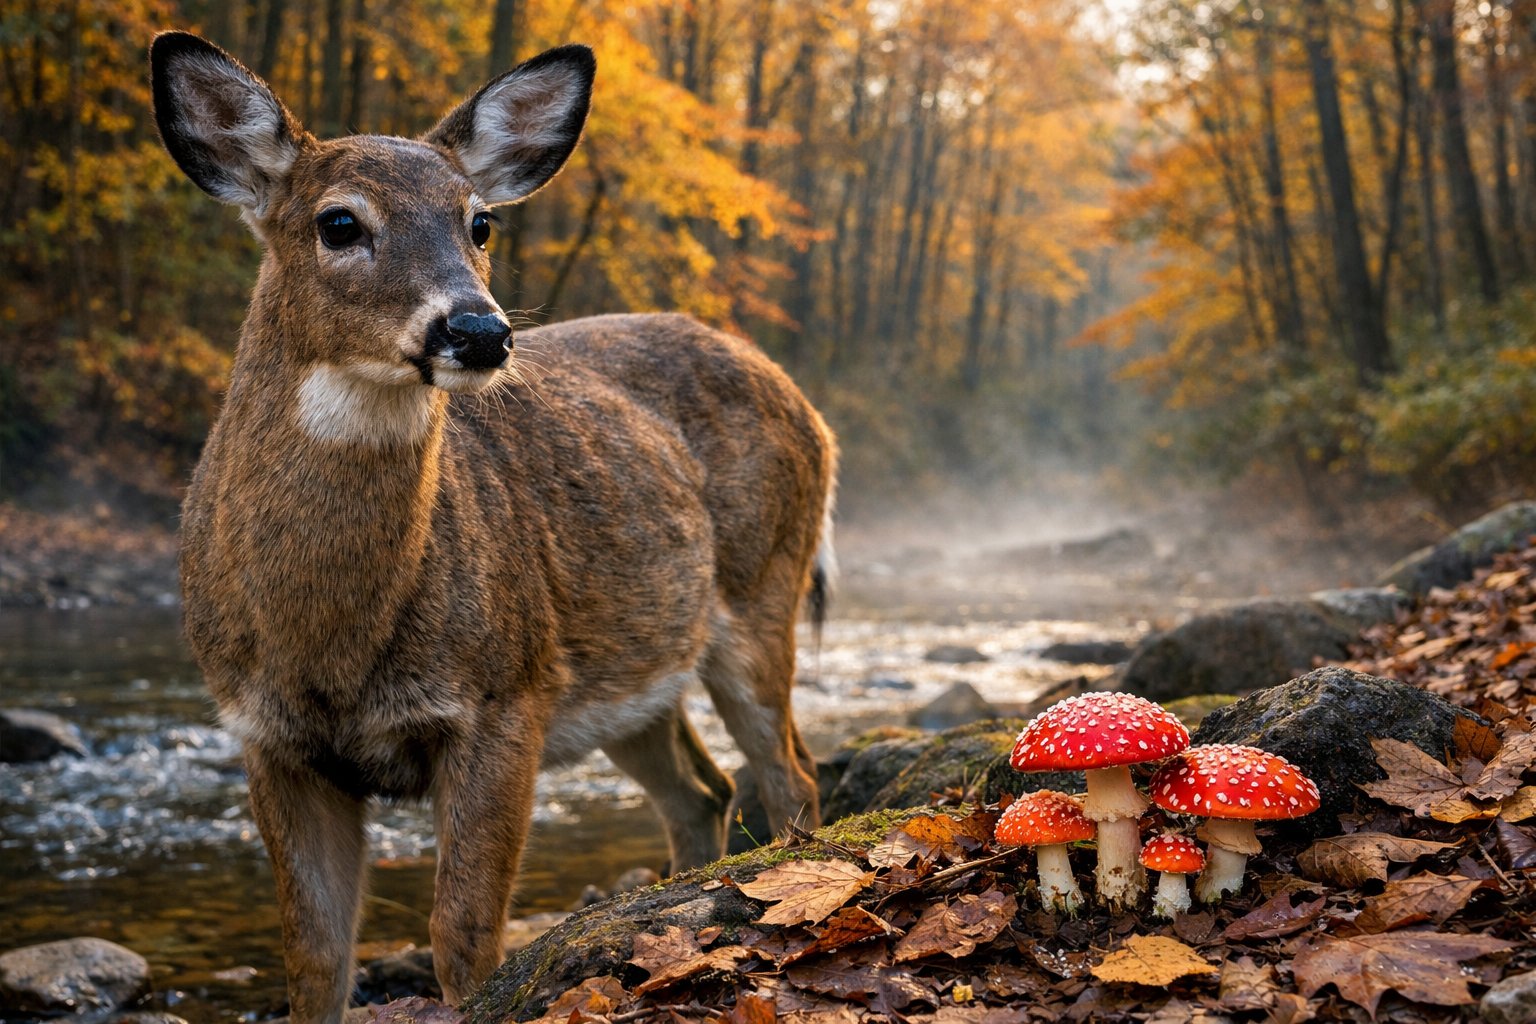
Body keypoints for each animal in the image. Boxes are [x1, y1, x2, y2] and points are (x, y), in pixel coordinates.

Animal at [149, 32, 835, 1024]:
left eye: (480, 224)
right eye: (339, 223)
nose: (477, 330)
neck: (328, 641)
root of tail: (803, 400)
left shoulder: (506, 692)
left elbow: (465, 935)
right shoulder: (266, 735)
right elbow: (315, 958)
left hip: (761, 588)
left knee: (791, 773)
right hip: (629, 669)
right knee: (702, 790)